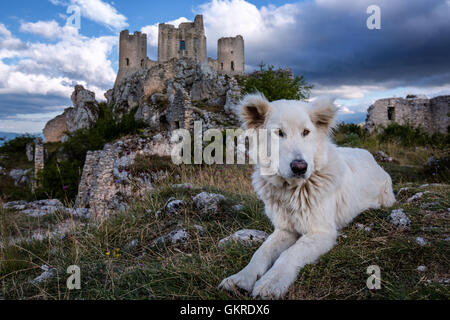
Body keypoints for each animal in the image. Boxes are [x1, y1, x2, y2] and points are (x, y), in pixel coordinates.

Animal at [220, 94, 396, 298]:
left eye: (306, 132)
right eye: (279, 133)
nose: (300, 167)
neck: (292, 191)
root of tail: (370, 155)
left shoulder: (321, 233)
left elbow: (290, 254)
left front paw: (271, 282)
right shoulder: (284, 230)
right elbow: (261, 252)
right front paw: (241, 278)